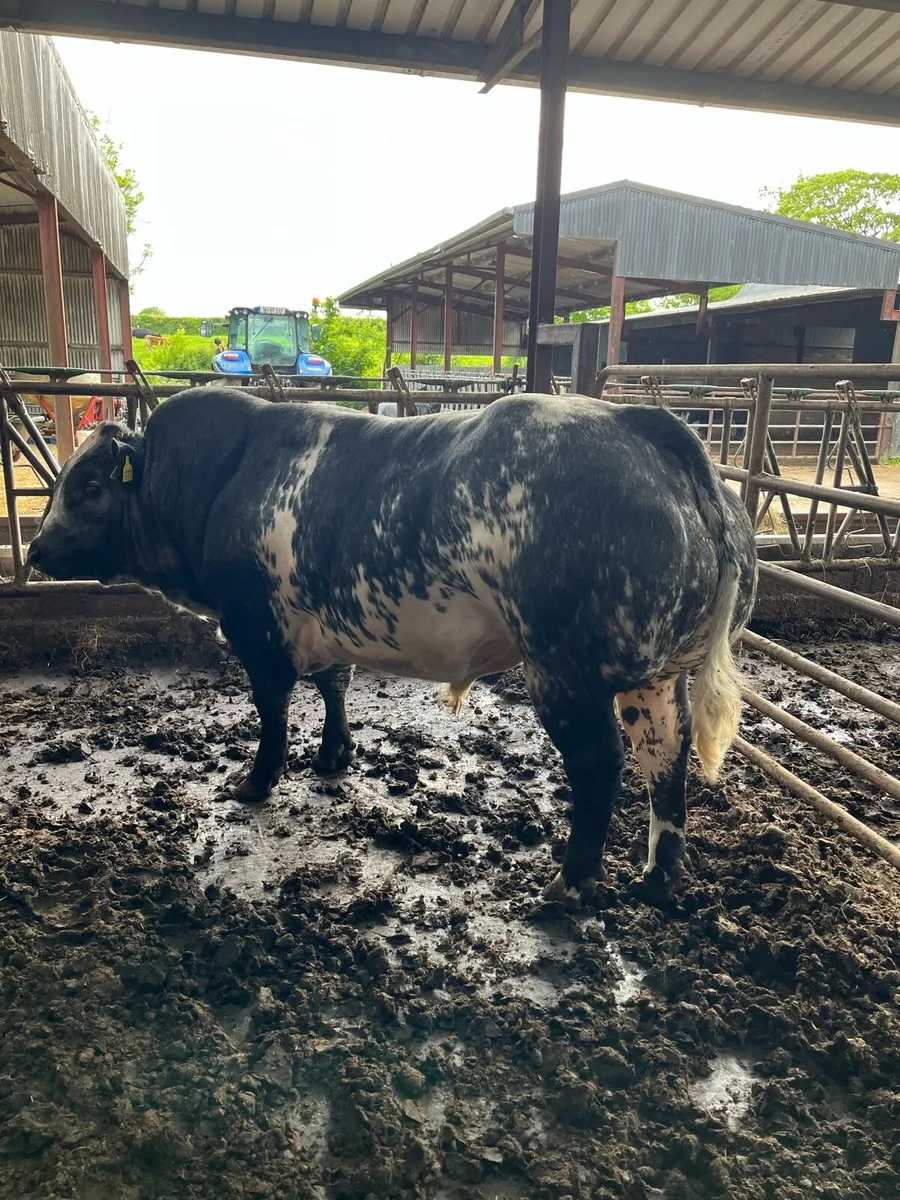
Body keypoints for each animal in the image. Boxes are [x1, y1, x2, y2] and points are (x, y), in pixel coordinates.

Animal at [28, 388, 757, 902]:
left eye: (89, 486)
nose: (34, 549)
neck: (214, 483)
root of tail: (643, 424)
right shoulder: (320, 624)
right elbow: (334, 685)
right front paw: (334, 757)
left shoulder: (255, 629)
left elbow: (272, 710)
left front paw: (256, 781)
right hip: (654, 675)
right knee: (665, 754)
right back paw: (658, 879)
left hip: (565, 672)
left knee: (601, 763)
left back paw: (569, 885)